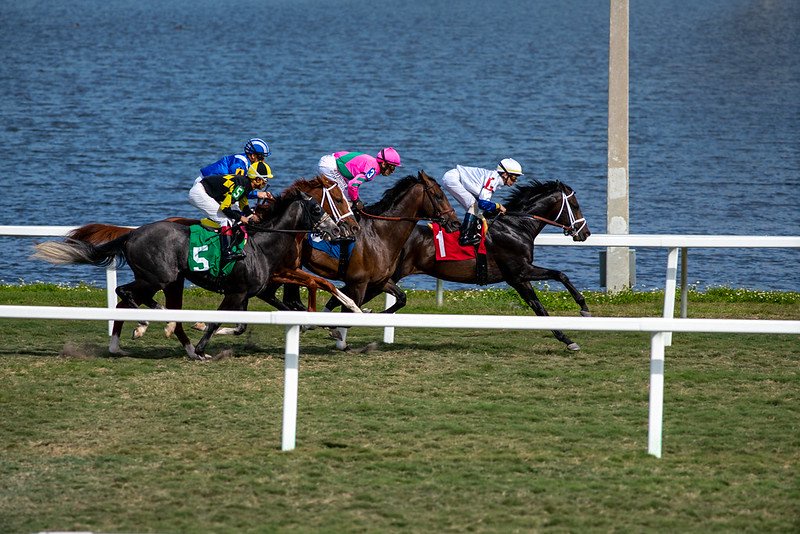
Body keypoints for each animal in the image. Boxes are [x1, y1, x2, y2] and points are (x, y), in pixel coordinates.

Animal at [33, 190, 345, 360]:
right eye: (316, 208)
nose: (338, 230)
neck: (261, 246)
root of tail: (132, 234)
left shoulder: (246, 293)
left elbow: (237, 323)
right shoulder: (236, 293)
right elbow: (214, 323)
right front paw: (202, 348)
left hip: (167, 280)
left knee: (127, 299)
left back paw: (126, 342)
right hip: (158, 277)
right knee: (125, 293)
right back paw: (148, 324)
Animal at [274, 170, 461, 349]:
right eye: (438, 195)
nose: (455, 223)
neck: (380, 234)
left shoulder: (379, 281)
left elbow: (401, 298)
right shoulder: (359, 282)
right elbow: (348, 309)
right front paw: (337, 333)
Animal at [362, 180, 592, 350]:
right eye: (575, 206)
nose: (586, 233)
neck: (516, 226)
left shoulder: (518, 279)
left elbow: (539, 308)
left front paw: (568, 340)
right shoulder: (520, 270)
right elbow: (560, 274)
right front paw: (584, 308)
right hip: (382, 278)